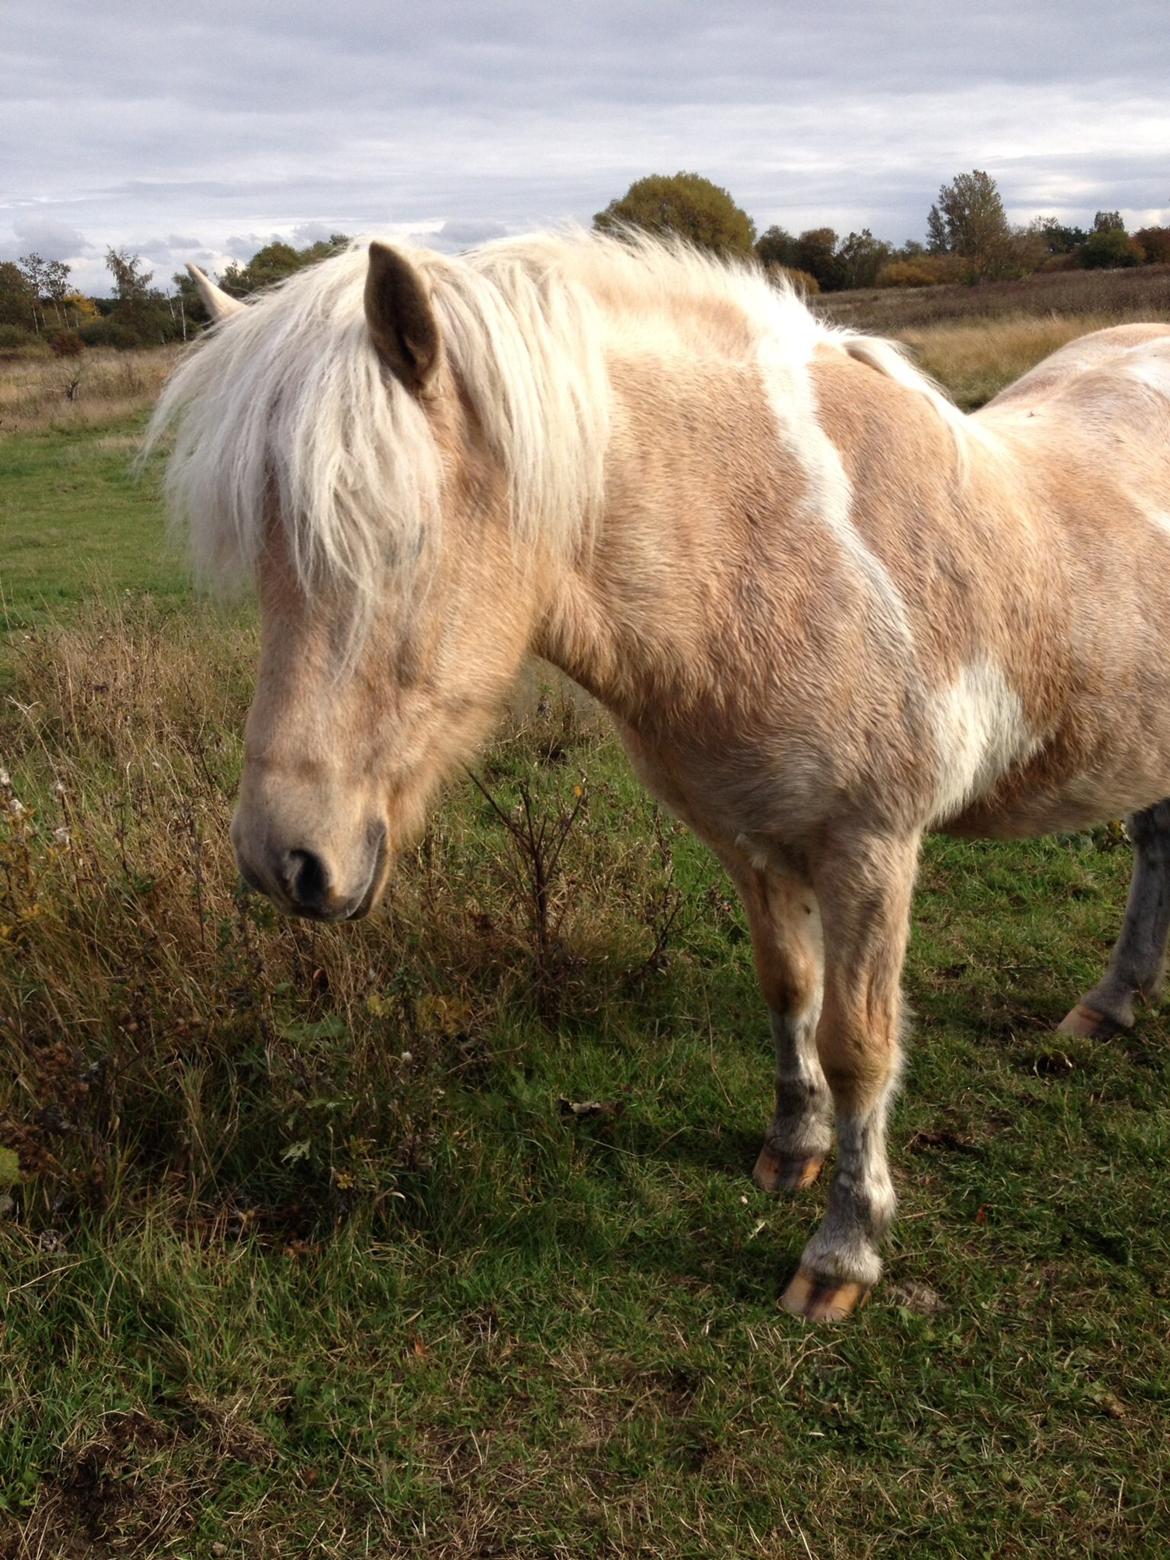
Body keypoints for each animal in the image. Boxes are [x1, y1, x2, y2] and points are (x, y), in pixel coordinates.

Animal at [153, 237, 1170, 1322]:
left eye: (394, 539)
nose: (283, 860)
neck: (778, 552)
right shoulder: (751, 840)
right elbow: (788, 987)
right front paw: (792, 1151)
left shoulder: (870, 852)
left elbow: (859, 1046)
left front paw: (843, 1254)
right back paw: (1109, 1005)